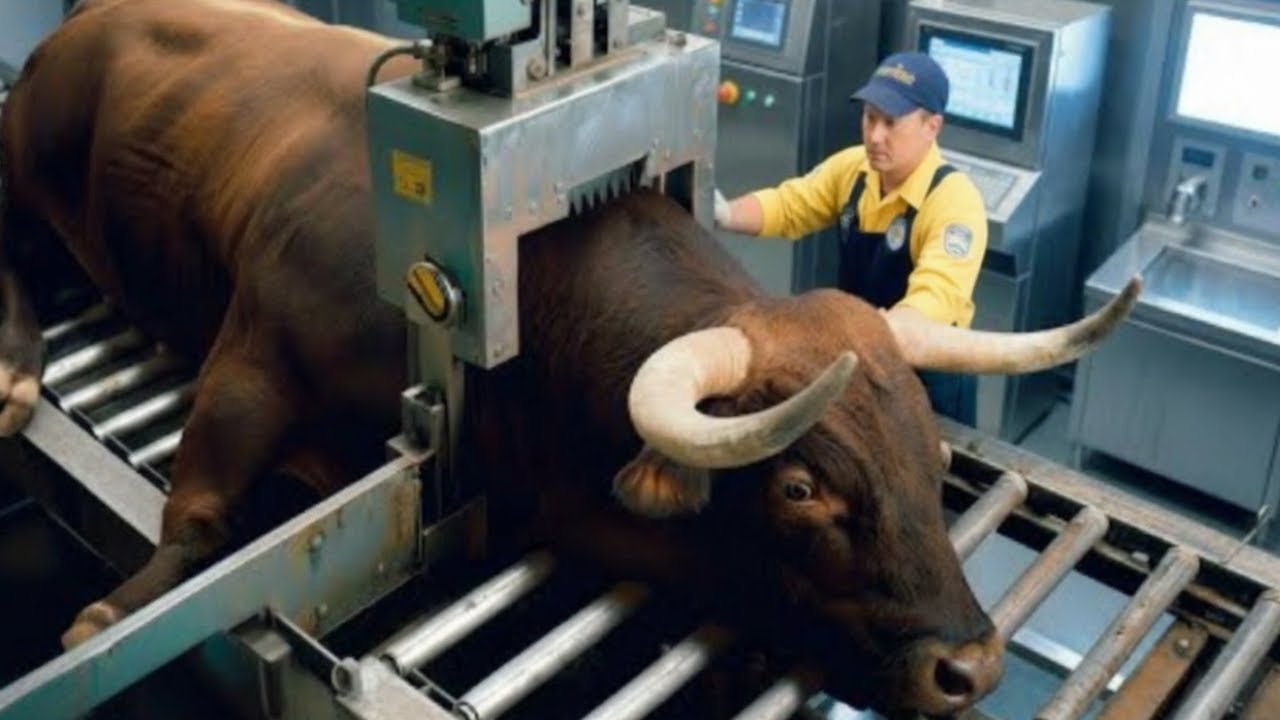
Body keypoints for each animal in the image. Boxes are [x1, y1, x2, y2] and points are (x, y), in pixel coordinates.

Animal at [0, 0, 1139, 715]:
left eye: (932, 456)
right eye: (800, 488)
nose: (971, 667)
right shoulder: (254, 355)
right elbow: (198, 520)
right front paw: (109, 614)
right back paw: (15, 377)